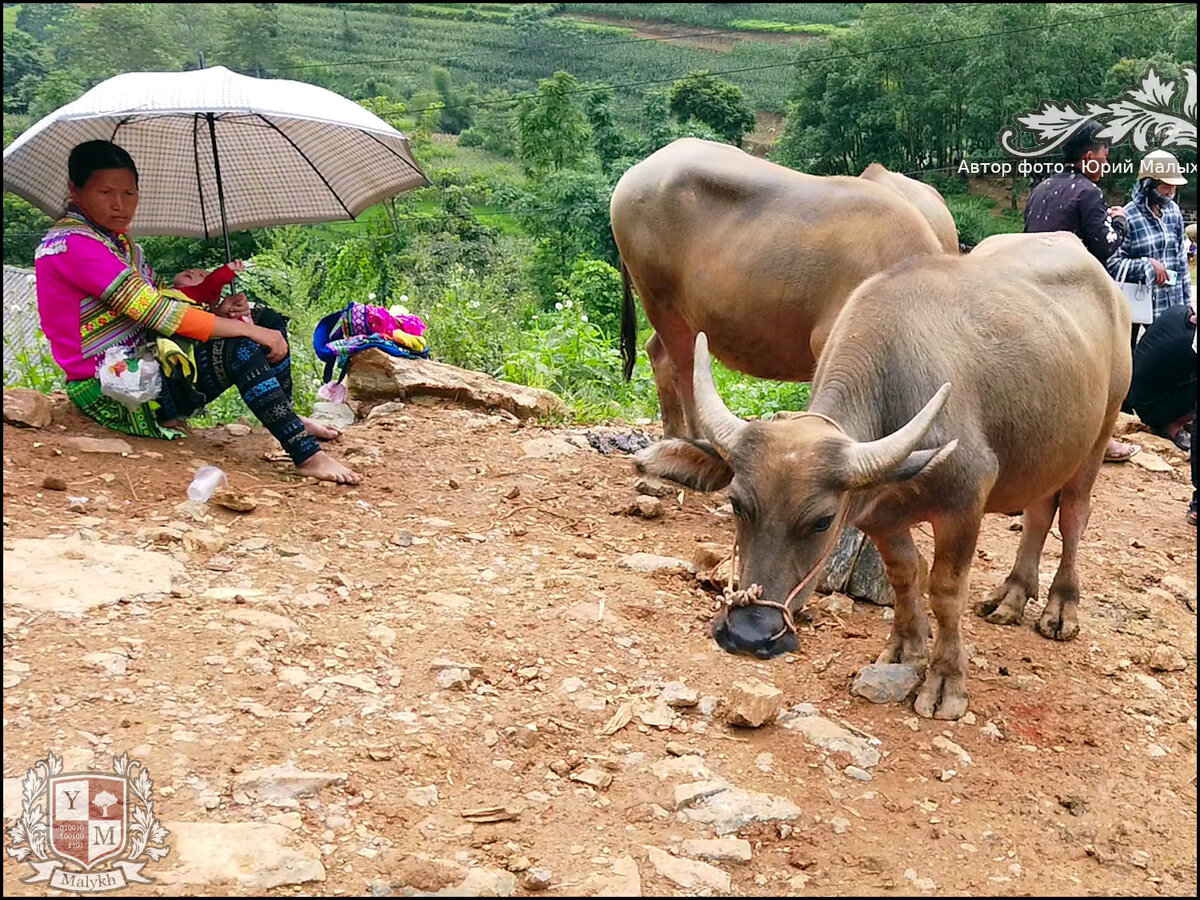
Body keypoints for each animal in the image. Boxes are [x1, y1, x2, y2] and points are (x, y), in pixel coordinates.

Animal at [619, 136, 945, 441]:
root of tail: (633, 174)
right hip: (657, 296)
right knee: (683, 367)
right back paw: (696, 438)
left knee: (658, 353)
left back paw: (674, 434)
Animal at [633, 230, 1128, 720]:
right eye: (737, 504)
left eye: (822, 521)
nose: (749, 634)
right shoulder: (879, 518)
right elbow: (904, 574)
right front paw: (904, 648)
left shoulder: (964, 503)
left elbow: (946, 590)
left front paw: (946, 682)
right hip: (1049, 450)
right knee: (1039, 513)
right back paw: (1012, 595)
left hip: (1100, 431)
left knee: (1073, 516)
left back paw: (1060, 608)